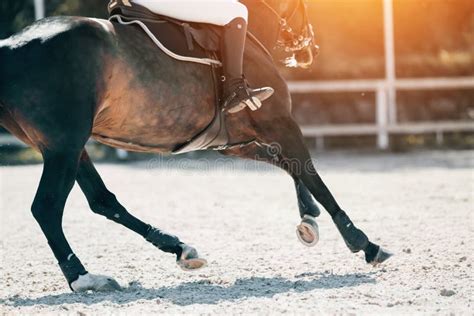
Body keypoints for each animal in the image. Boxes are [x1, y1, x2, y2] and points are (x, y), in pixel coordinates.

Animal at [0, 0, 392, 292]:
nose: (309, 49)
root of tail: (11, 47)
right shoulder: (278, 121)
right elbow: (311, 174)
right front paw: (363, 243)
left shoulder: (234, 142)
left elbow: (287, 165)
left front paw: (308, 217)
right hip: (64, 146)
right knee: (47, 208)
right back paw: (84, 278)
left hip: (69, 146)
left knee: (102, 201)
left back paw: (179, 248)